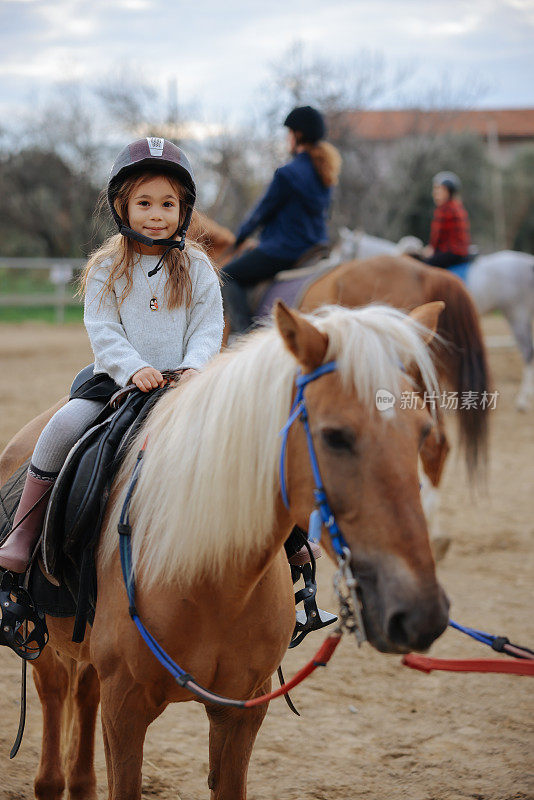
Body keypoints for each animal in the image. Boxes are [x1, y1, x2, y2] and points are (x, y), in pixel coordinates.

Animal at [2, 302, 450, 800]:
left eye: (422, 432)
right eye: (336, 436)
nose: (419, 613)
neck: (210, 577)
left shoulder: (243, 708)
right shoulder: (125, 710)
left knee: (82, 692)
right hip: (42, 639)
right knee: (54, 691)